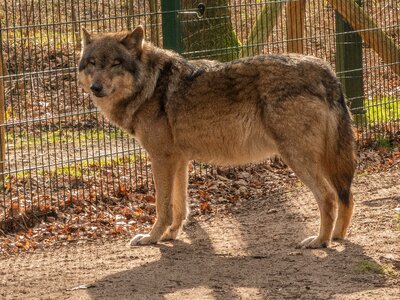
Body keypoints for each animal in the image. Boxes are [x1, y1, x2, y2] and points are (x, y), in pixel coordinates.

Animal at [78, 25, 356, 247]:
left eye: (115, 63)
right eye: (92, 63)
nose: (96, 87)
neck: (150, 86)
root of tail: (326, 71)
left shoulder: (161, 159)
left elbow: (163, 207)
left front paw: (152, 238)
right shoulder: (179, 161)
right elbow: (179, 207)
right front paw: (170, 235)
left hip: (297, 158)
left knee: (329, 197)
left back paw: (320, 241)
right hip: (325, 160)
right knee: (347, 196)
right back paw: (337, 236)